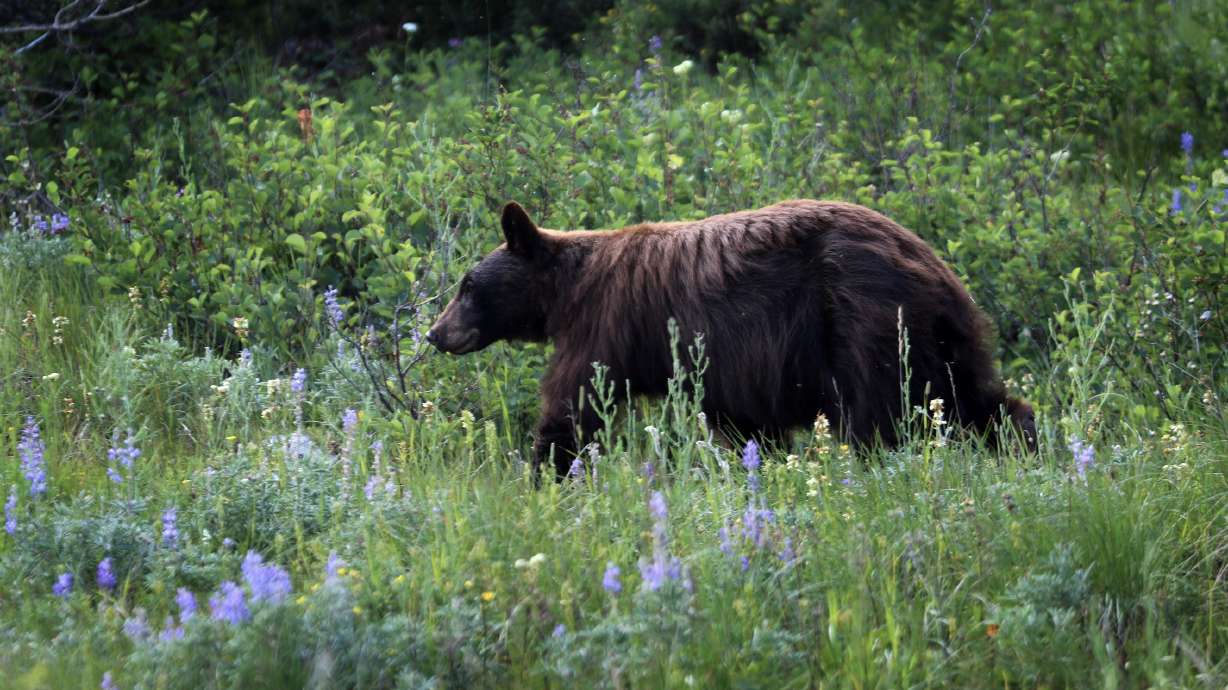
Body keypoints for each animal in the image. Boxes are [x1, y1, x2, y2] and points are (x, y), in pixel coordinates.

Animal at [426, 199, 1037, 477]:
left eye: (466, 286)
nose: (435, 333)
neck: (567, 291)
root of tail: (928, 261)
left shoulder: (607, 325)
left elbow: (576, 403)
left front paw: (546, 475)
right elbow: (747, 422)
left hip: (866, 321)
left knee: (880, 412)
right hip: (939, 336)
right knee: (973, 397)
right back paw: (1027, 447)